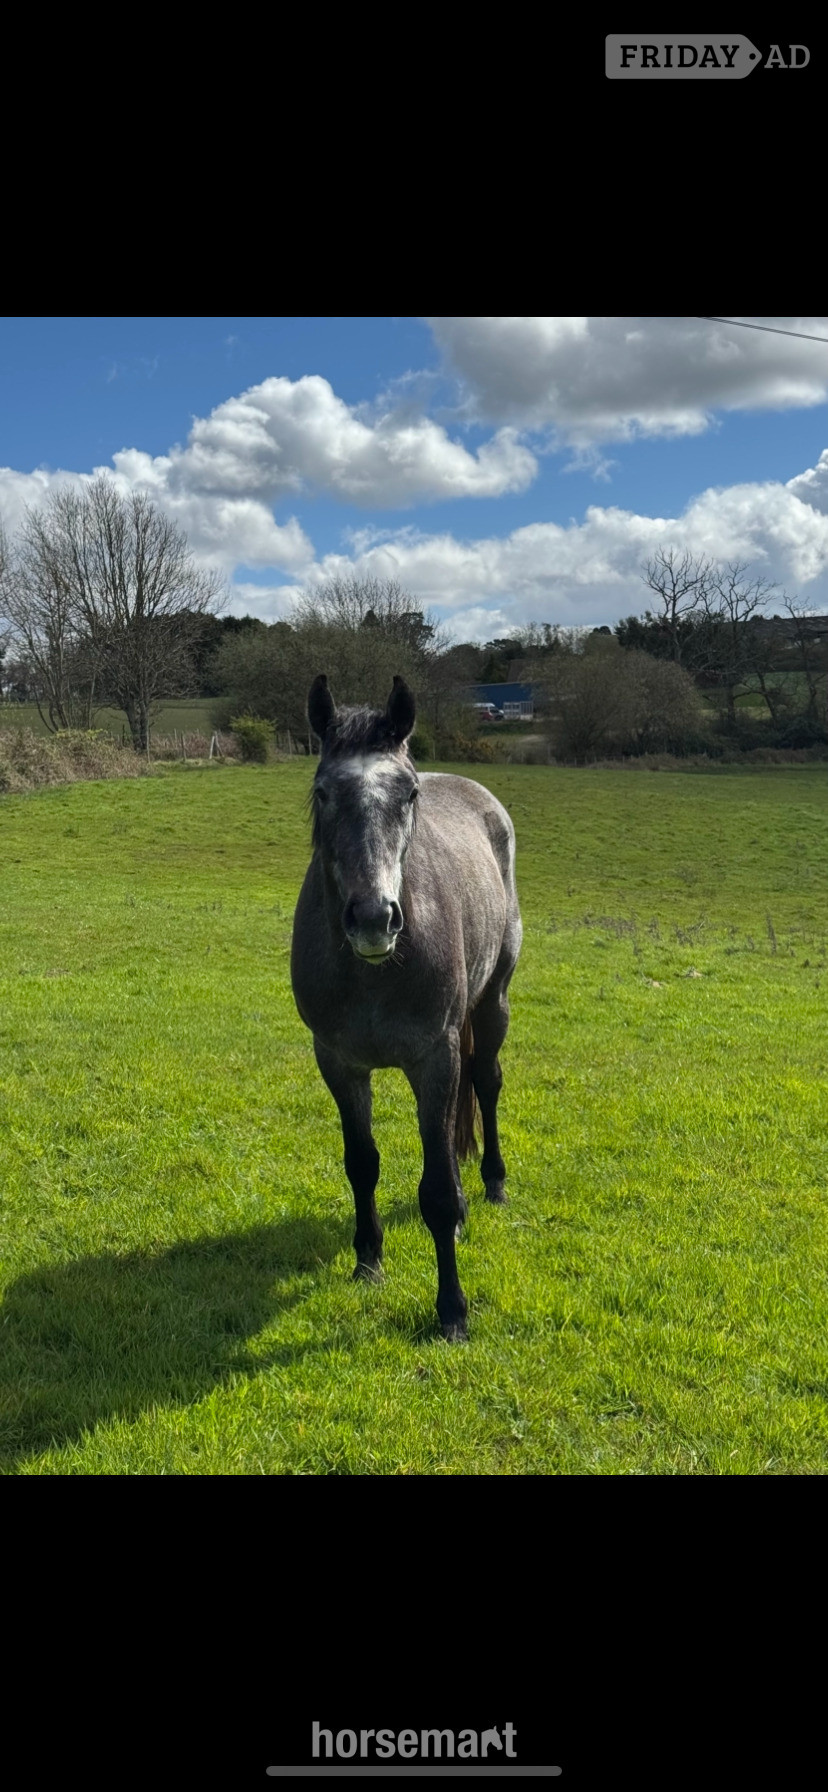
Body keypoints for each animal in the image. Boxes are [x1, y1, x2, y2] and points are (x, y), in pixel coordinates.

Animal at [290, 673, 522, 1340]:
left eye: (409, 793)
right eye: (323, 792)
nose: (373, 918)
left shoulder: (434, 1059)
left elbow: (437, 1191)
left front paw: (452, 1311)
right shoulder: (339, 1063)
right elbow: (361, 1163)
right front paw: (368, 1259)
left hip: (492, 1004)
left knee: (486, 1081)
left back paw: (493, 1185)